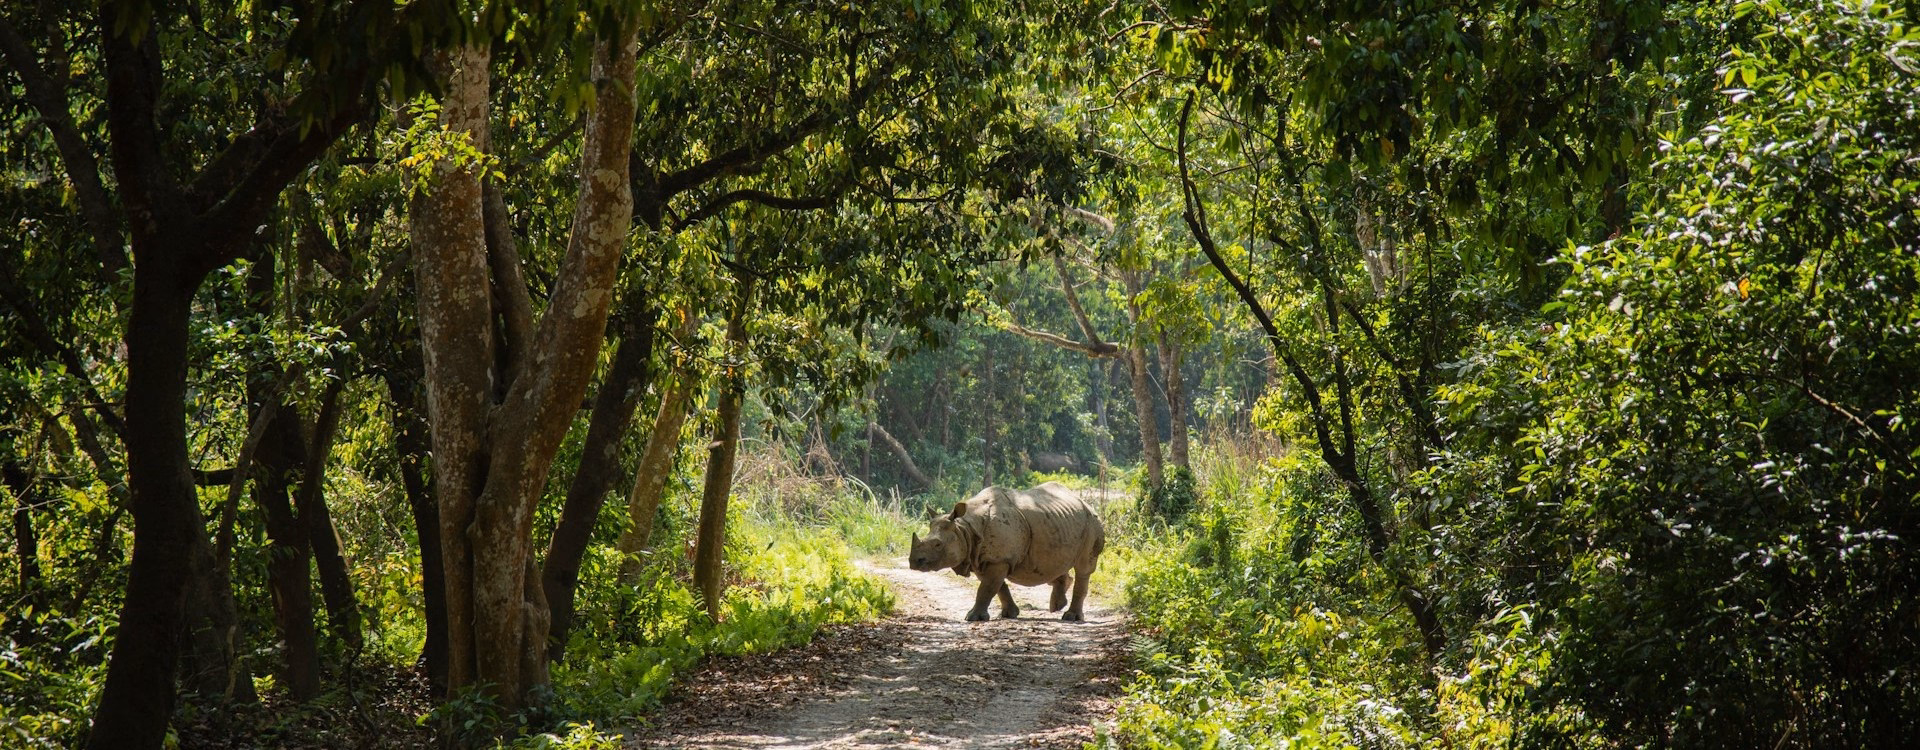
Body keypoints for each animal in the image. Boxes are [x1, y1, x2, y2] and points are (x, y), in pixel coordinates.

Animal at [908, 482, 1105, 622]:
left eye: (937, 544)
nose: (913, 562)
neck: (964, 529)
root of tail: (1085, 503)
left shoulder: (998, 559)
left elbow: (987, 588)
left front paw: (972, 617)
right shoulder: (981, 558)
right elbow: (997, 587)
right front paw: (1009, 614)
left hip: (1092, 522)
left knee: (1083, 568)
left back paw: (1071, 617)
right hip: (1059, 522)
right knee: (1052, 564)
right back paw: (1057, 606)